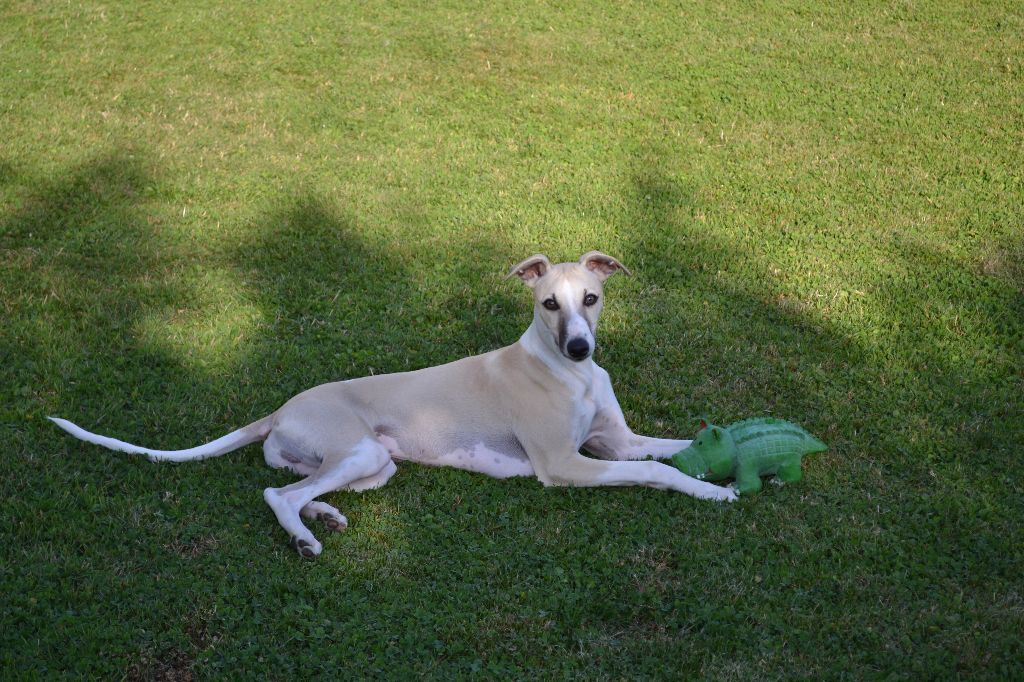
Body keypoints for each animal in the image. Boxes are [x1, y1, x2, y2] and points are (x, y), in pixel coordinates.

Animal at [49, 251, 737, 557]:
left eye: (591, 298)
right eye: (548, 302)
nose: (578, 346)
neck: (572, 377)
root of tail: (278, 411)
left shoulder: (616, 440)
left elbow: (675, 446)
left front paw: (726, 458)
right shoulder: (564, 464)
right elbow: (656, 472)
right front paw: (712, 492)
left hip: (376, 463)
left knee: (301, 487)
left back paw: (323, 518)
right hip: (356, 449)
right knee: (277, 494)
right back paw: (306, 537)